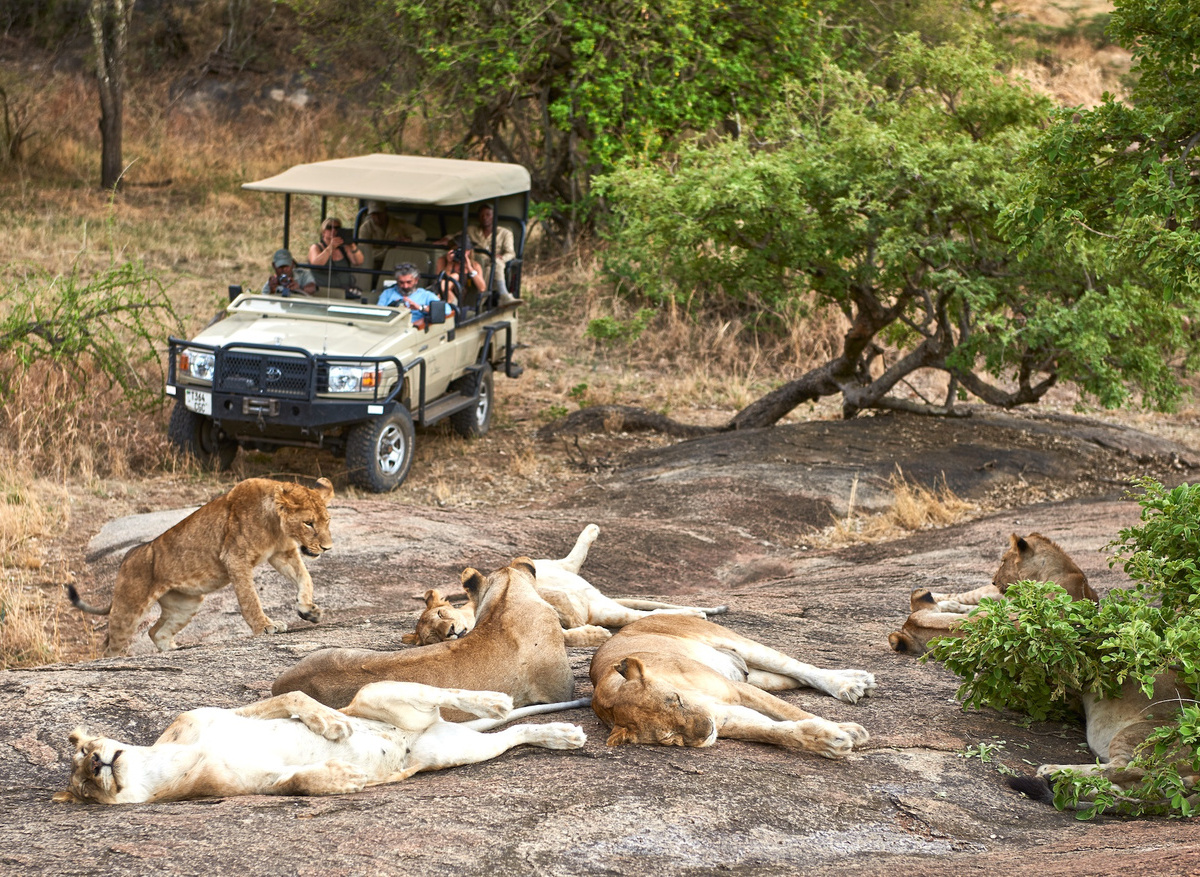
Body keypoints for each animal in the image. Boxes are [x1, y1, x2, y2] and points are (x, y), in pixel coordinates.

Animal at [67, 477, 334, 656]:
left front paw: (308, 610)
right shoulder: (235, 558)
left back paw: (172, 650)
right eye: (308, 523)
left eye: (327, 521)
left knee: (155, 632)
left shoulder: (283, 554)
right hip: (129, 609)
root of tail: (128, 556)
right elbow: (250, 598)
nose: (327, 548)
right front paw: (265, 626)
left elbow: (305, 578)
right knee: (111, 645)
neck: (276, 525)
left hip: (186, 604)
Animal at [404, 524, 729, 648]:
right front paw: (592, 633)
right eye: (433, 639)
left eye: (442, 615)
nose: (450, 632)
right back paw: (696, 614)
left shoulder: (531, 583)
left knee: (571, 561)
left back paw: (591, 530)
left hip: (553, 566)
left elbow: (557, 600)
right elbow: (571, 635)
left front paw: (573, 616)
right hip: (610, 610)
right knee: (641, 616)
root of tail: (600, 597)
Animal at [590, 615, 874, 757]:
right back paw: (859, 679)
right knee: (797, 678)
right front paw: (830, 741)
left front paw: (847, 730)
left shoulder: (737, 690)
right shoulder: (725, 716)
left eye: (676, 699)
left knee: (800, 667)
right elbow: (774, 731)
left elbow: (792, 712)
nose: (706, 731)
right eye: (669, 738)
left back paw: (850, 684)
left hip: (738, 644)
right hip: (760, 678)